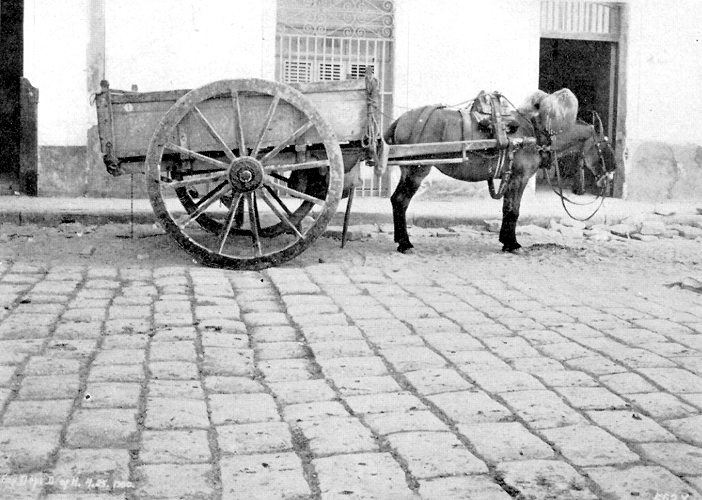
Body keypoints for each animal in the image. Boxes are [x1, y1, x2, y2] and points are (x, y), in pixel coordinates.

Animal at [380, 88, 616, 254]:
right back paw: (405, 243)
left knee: (396, 200)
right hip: (416, 169)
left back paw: (401, 240)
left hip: (408, 169)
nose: (612, 174)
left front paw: (506, 240)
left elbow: (506, 208)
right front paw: (513, 244)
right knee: (400, 200)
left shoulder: (510, 177)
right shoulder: (520, 177)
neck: (536, 133)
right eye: (604, 145)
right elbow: (513, 210)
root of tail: (401, 120)